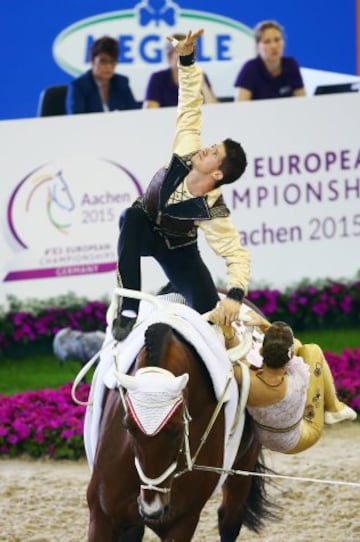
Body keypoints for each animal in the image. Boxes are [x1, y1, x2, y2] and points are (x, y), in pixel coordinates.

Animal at [84, 298, 274, 542]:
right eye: (128, 427)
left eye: (177, 430)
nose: (152, 509)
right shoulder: (103, 515)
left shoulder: (182, 521)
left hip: (242, 470)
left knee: (229, 518)